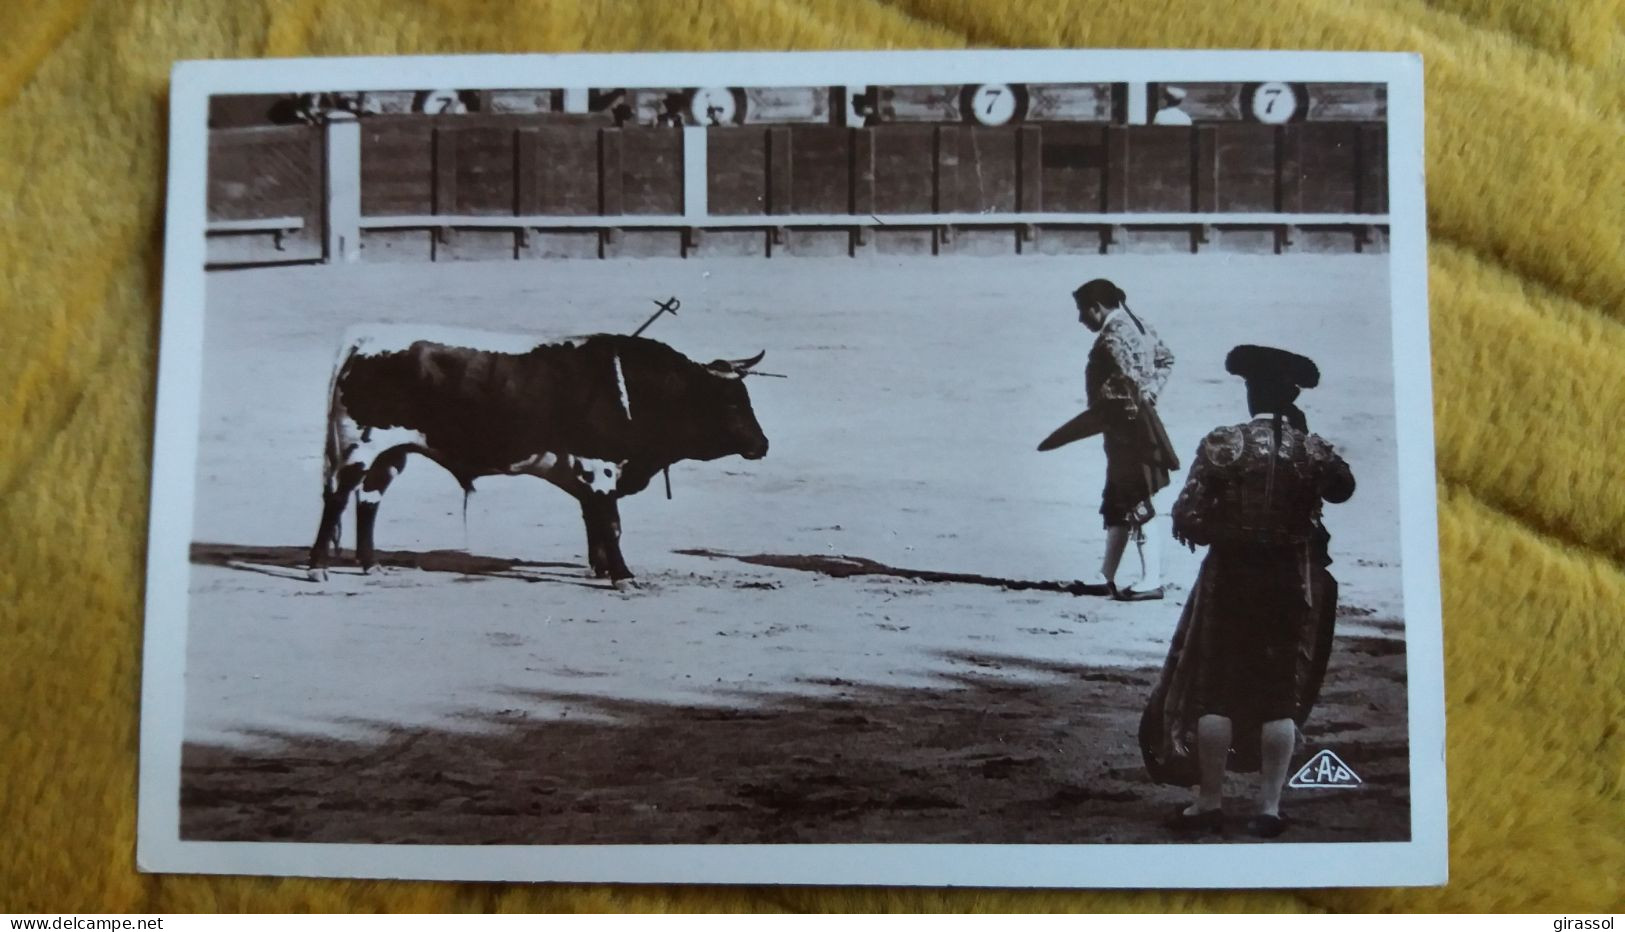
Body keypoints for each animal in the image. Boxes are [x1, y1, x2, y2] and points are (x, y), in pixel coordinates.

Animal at [307, 326, 770, 584]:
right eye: (731, 403)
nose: (762, 445)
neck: (631, 388)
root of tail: (364, 340)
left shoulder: (589, 475)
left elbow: (598, 523)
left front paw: (604, 569)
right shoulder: (600, 468)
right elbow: (610, 523)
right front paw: (622, 576)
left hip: (390, 453)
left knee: (369, 500)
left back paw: (370, 565)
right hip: (360, 447)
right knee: (337, 500)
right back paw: (318, 567)